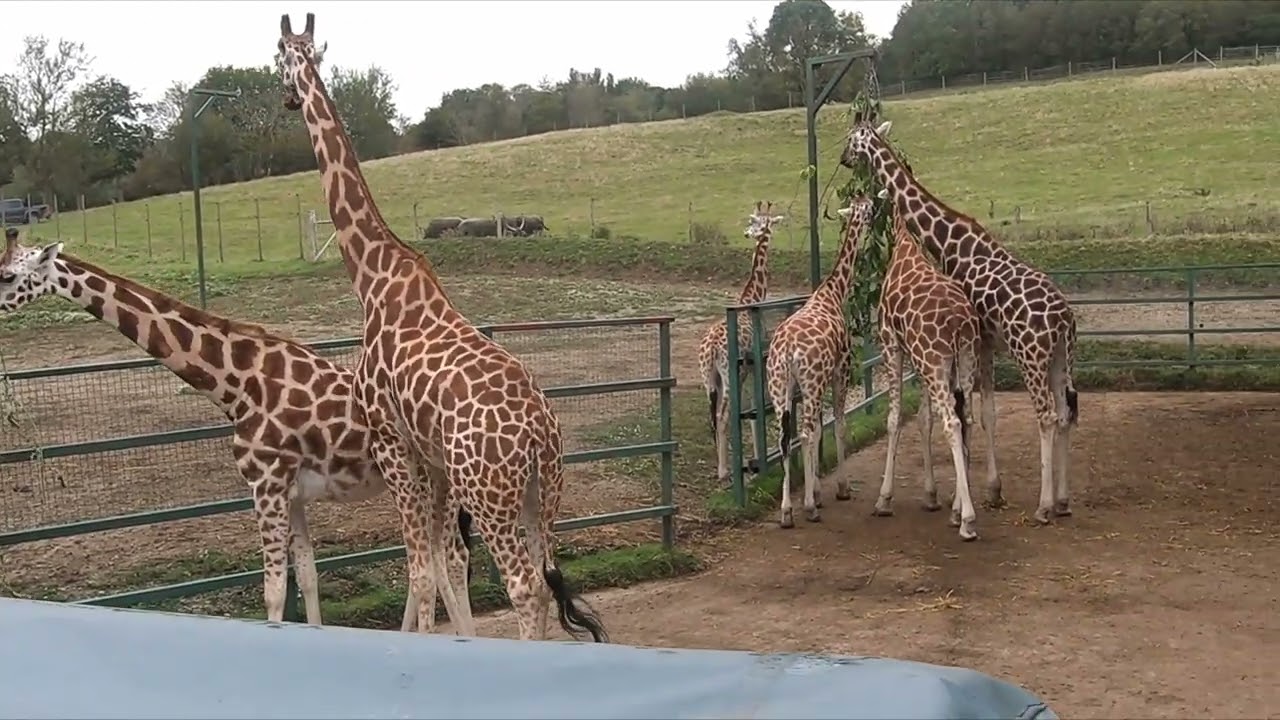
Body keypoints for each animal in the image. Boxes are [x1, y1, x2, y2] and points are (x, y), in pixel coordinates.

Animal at [0, 226, 473, 627]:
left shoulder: (265, 485)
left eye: (7, 275)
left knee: (451, 560)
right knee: (435, 561)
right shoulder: (291, 493)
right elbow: (307, 577)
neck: (239, 384)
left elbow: (274, 592)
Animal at [275, 14, 606, 642]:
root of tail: (540, 433)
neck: (374, 280)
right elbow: (441, 562)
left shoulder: (393, 443)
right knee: (546, 576)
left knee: (525, 587)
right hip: (543, 493)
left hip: (490, 493)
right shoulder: (429, 458)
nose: (284, 98)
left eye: (276, 58)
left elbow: (421, 569)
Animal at [697, 201, 783, 485]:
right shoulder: (755, 365)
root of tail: (711, 347)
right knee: (723, 416)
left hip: (709, 379)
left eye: (756, 222)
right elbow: (756, 410)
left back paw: (722, 466)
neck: (750, 299)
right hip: (726, 374)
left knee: (713, 417)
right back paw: (725, 472)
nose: (748, 233)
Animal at [766, 190, 881, 528]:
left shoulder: (806, 387)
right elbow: (837, 425)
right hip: (813, 382)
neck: (833, 292)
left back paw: (786, 512)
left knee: (785, 437)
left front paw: (815, 491)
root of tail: (787, 350)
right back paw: (807, 509)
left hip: (779, 386)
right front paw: (837, 489)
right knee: (803, 433)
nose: (875, 211)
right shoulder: (840, 371)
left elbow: (818, 431)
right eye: (867, 207)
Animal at [872, 205, 985, 541]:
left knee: (952, 422)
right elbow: (924, 419)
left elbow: (894, 418)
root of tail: (958, 321)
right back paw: (958, 510)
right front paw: (931, 495)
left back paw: (968, 520)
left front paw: (884, 499)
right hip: (963, 361)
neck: (903, 245)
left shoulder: (892, 345)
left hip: (936, 363)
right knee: (966, 420)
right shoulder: (921, 361)